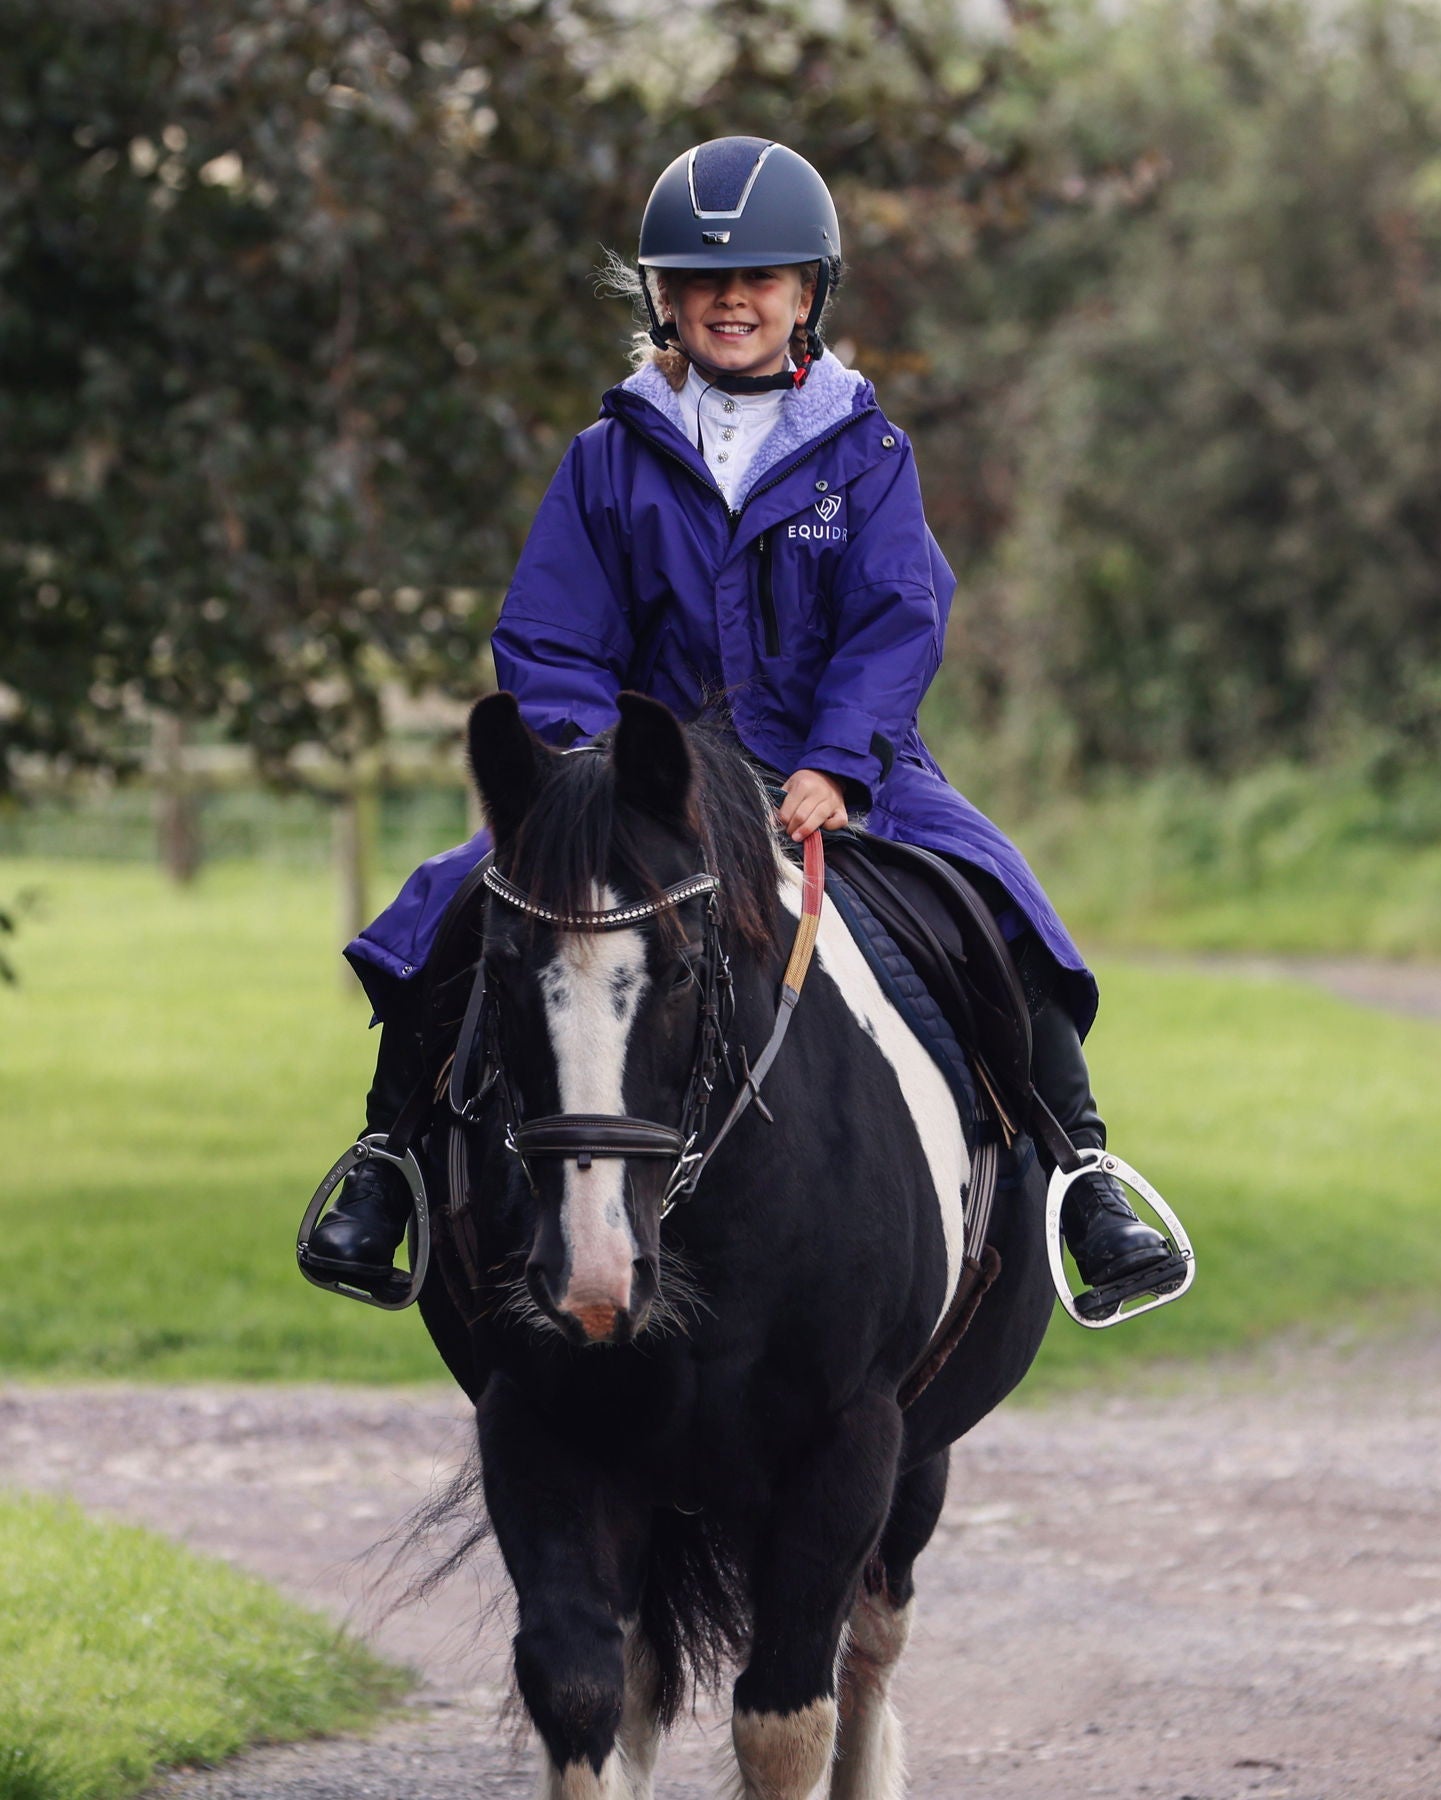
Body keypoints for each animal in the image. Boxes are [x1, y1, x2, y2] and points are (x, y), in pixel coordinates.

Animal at [414, 688, 1056, 1800]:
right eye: (496, 969)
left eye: (676, 972)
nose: (591, 1278)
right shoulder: (537, 1423)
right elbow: (579, 1687)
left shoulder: (849, 1442)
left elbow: (786, 1719)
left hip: (918, 1459)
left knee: (870, 1652)